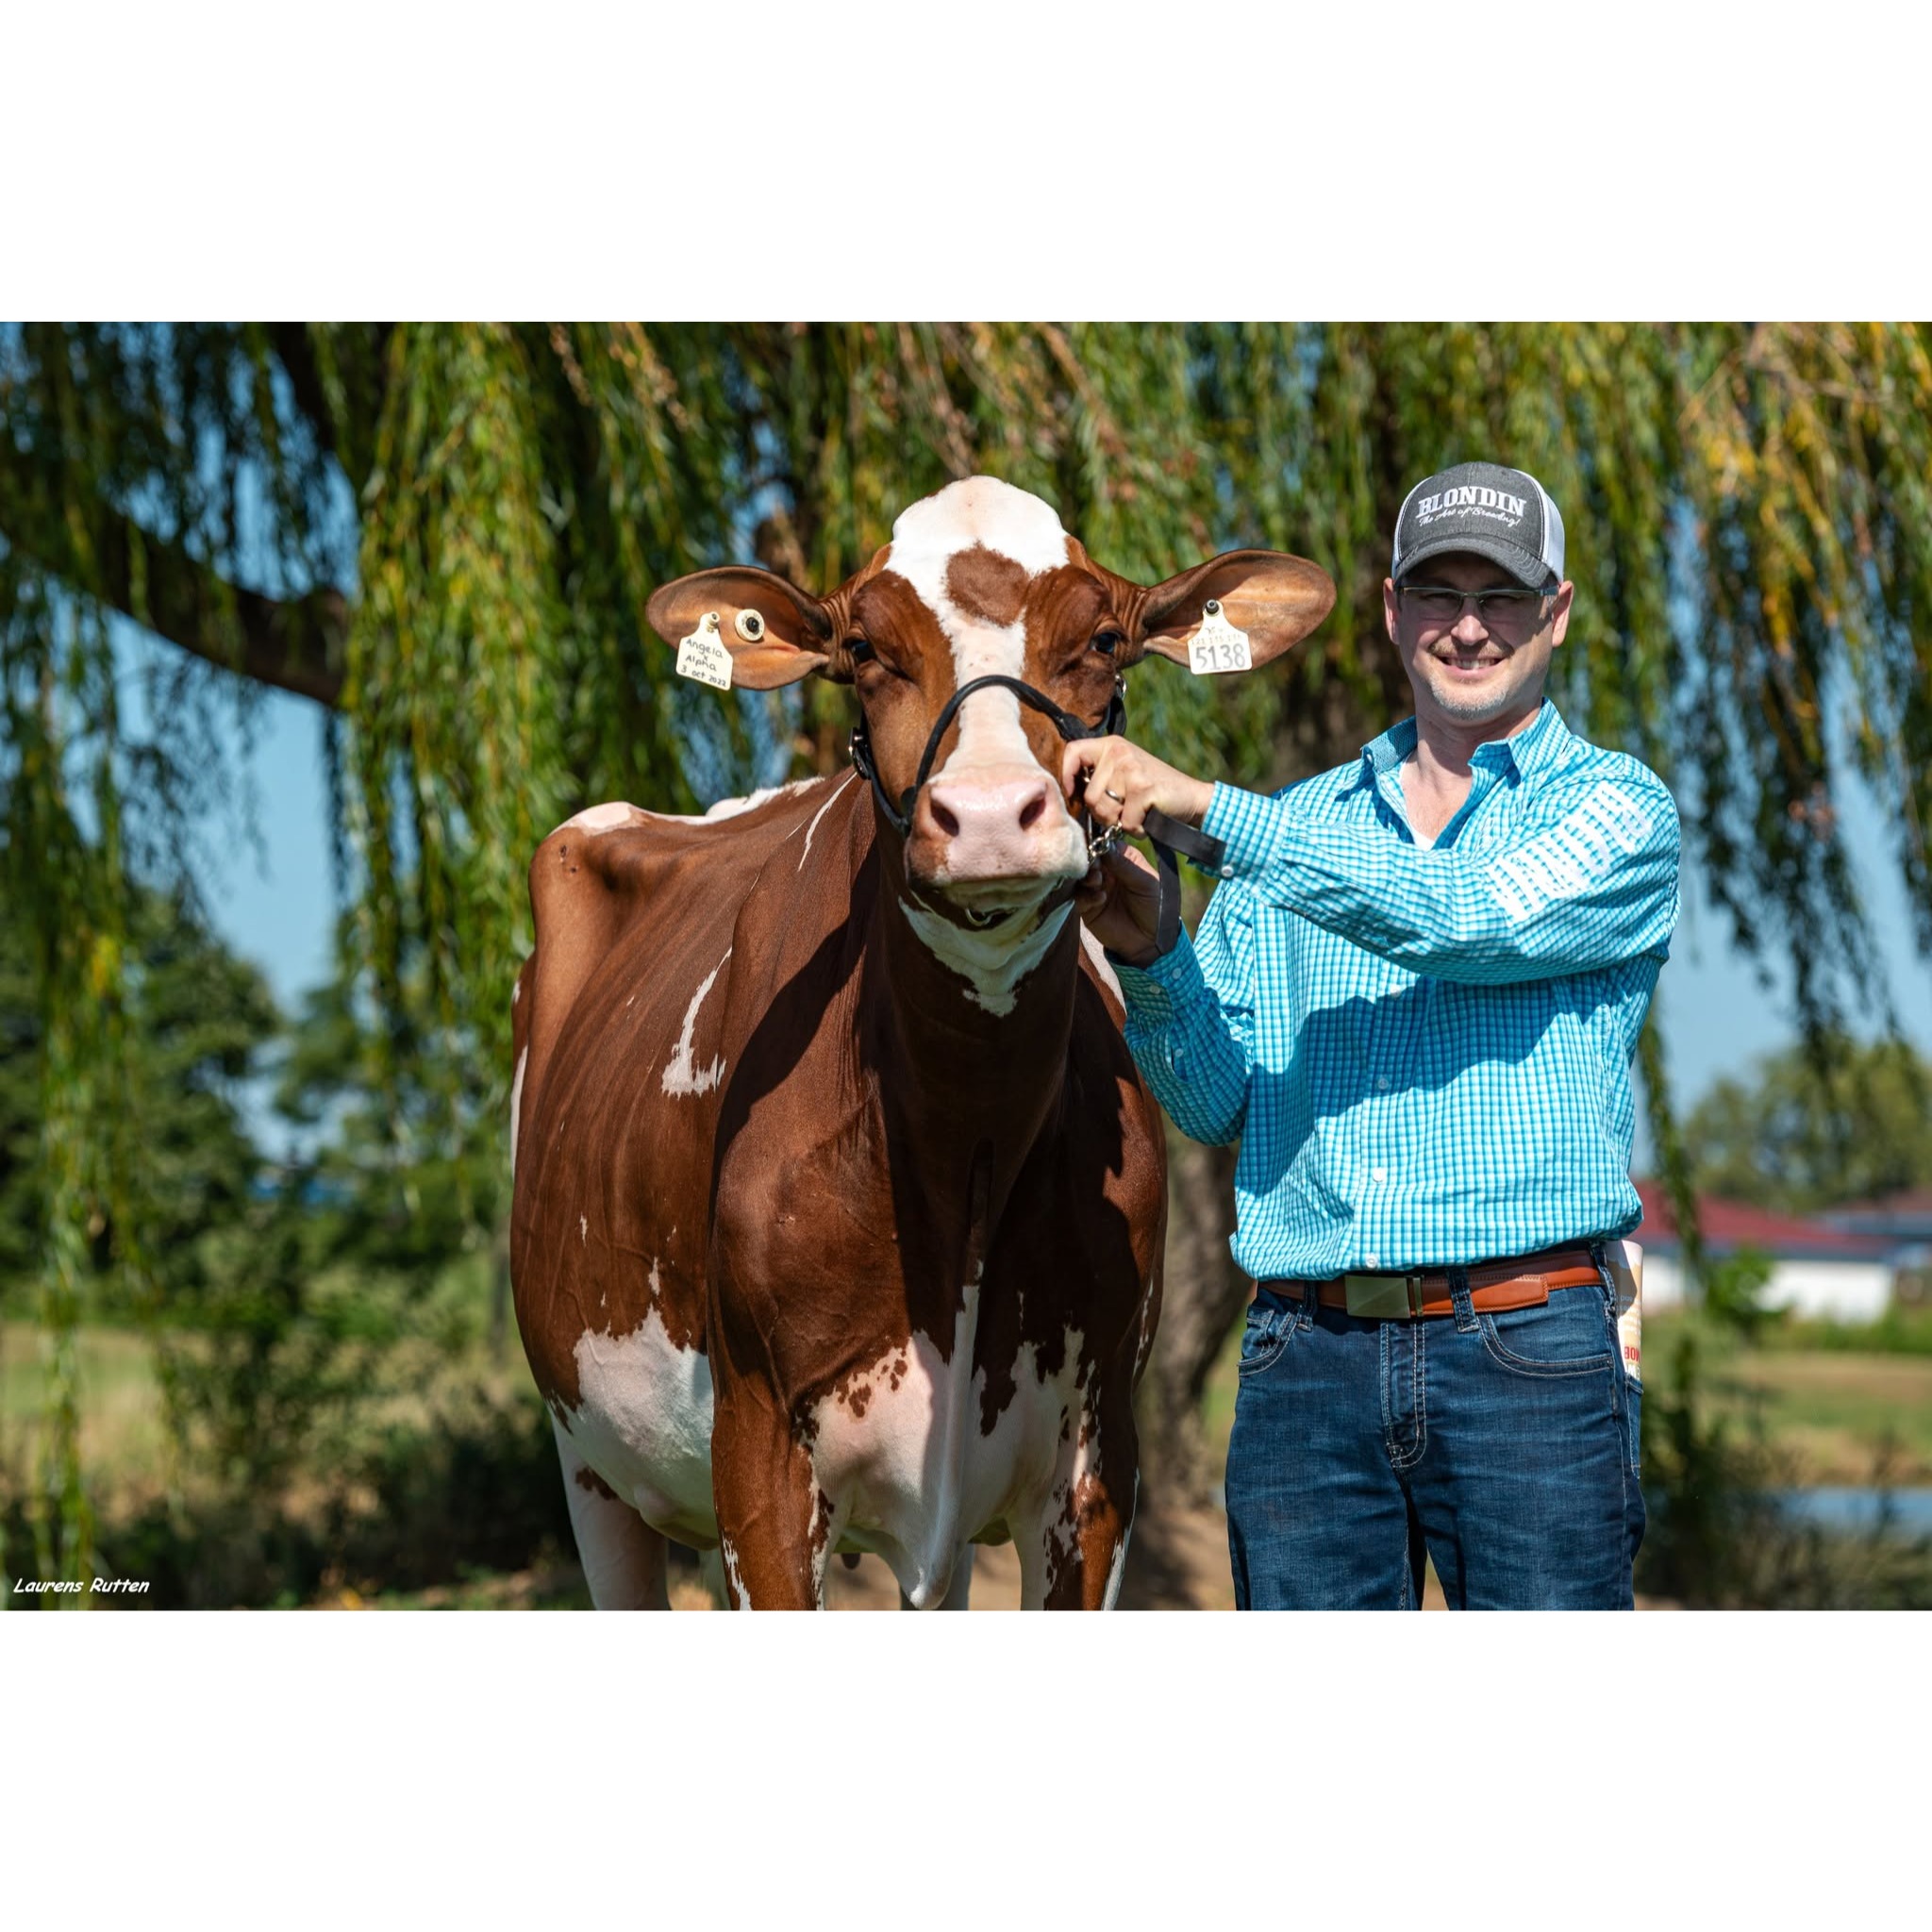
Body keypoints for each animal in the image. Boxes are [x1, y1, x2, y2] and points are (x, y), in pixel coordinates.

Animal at [509, 476, 1334, 1608]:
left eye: (1103, 640)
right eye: (862, 649)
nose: (987, 816)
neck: (963, 1149)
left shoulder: (1097, 1465)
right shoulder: (758, 1463)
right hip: (588, 1463)